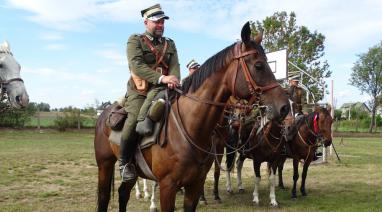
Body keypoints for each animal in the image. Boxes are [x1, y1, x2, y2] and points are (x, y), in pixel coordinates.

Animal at [95, 22, 290, 212]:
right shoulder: (167, 186)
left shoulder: (195, 184)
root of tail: (104, 114)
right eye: (258, 65)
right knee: (104, 197)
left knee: (123, 194)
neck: (190, 127)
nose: (285, 107)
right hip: (105, 165)